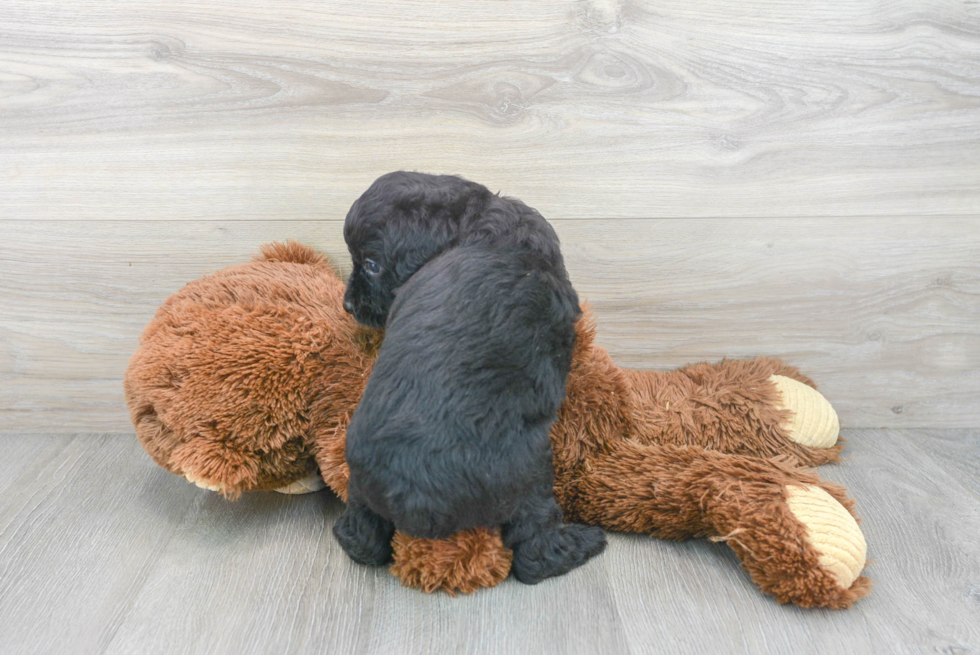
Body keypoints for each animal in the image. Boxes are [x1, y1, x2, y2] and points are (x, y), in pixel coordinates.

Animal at [334, 170, 604, 584]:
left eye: (372, 264)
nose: (347, 305)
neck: (476, 219)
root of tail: (412, 498)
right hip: (531, 474)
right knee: (534, 552)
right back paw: (582, 544)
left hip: (361, 484)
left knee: (363, 538)